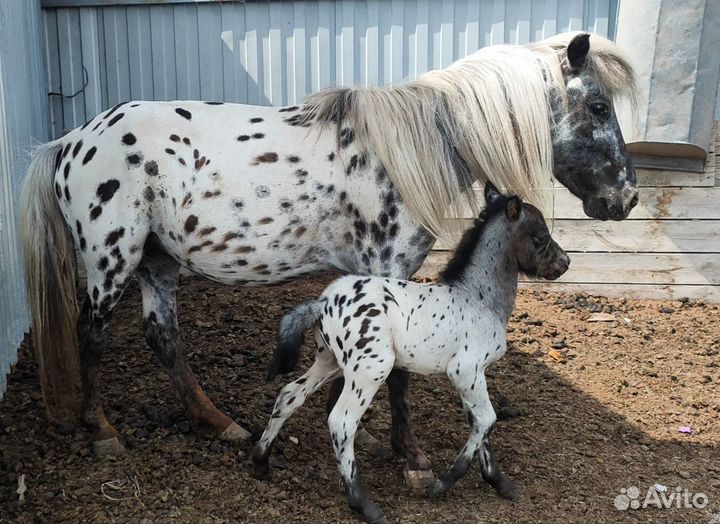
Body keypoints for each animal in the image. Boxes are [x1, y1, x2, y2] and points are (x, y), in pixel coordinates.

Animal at [19, 31, 636, 474]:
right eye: (598, 107)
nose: (625, 198)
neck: (403, 155)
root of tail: (72, 140)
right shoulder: (387, 271)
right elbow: (398, 376)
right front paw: (411, 458)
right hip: (111, 260)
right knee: (90, 335)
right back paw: (102, 432)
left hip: (157, 262)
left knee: (163, 339)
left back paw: (220, 423)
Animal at [256, 182, 572, 520]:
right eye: (539, 235)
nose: (565, 262)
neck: (477, 299)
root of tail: (323, 302)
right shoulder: (465, 370)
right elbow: (487, 419)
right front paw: (443, 483)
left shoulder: (473, 375)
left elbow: (478, 421)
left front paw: (499, 482)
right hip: (370, 370)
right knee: (342, 423)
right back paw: (363, 504)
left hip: (330, 362)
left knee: (290, 395)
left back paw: (260, 461)